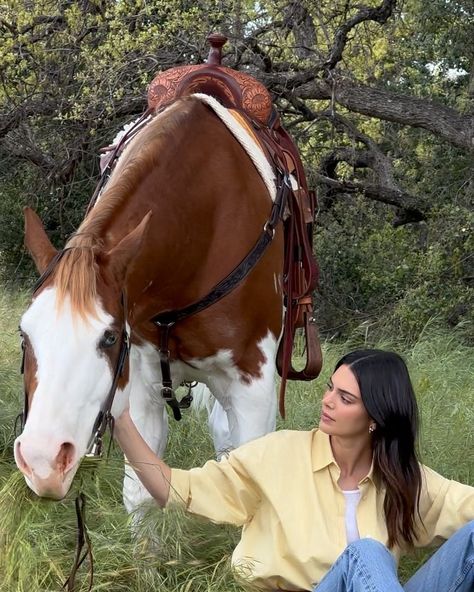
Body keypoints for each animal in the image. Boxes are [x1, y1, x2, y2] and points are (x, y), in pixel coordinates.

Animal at [13, 95, 286, 512]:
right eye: (24, 335)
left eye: (109, 337)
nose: (43, 461)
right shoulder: (138, 385)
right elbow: (143, 490)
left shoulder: (253, 385)